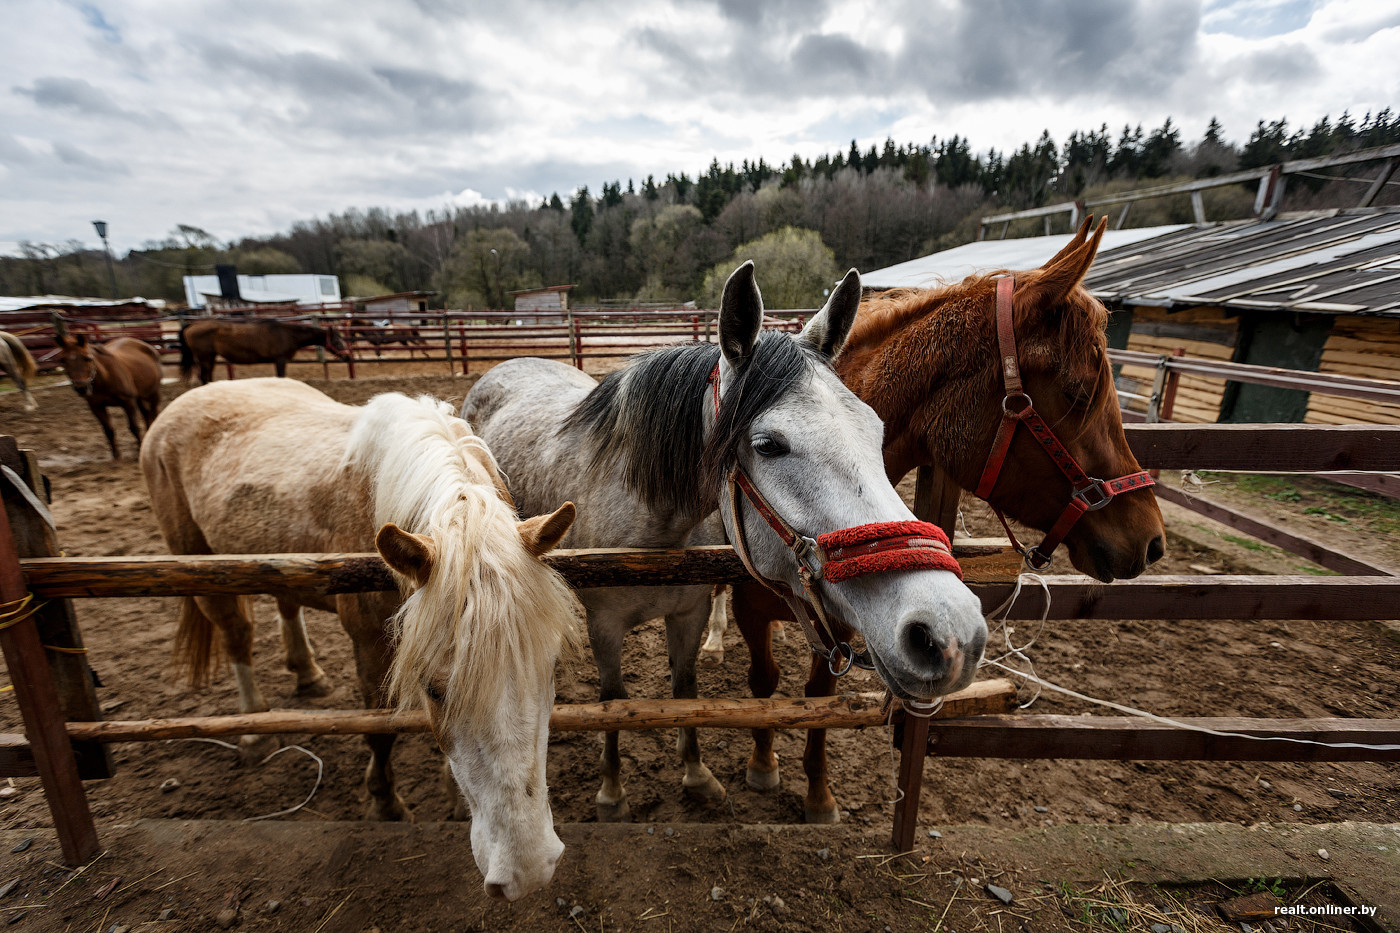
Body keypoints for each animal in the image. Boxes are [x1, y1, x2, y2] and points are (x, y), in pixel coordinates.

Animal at [139, 375, 576, 896]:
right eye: (433, 689)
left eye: (550, 671)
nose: (527, 871)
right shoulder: (371, 644)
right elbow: (380, 729)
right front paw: (386, 804)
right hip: (200, 564)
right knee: (237, 636)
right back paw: (254, 731)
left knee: (286, 604)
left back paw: (307, 674)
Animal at [177, 316, 352, 381]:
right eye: (337, 342)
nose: (348, 357)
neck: (287, 334)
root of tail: (191, 325)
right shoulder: (280, 360)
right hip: (205, 357)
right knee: (203, 377)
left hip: (210, 357)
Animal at [464, 261, 991, 823]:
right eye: (767, 444)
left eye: (876, 428)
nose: (949, 632)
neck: (650, 537)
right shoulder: (604, 627)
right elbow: (612, 701)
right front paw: (612, 791)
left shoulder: (688, 613)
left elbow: (684, 691)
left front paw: (696, 775)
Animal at [728, 215, 1164, 823]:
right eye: (1078, 393)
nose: (1151, 539)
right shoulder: (750, 608)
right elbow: (765, 683)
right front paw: (763, 764)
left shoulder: (849, 621)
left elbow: (821, 698)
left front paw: (818, 792)